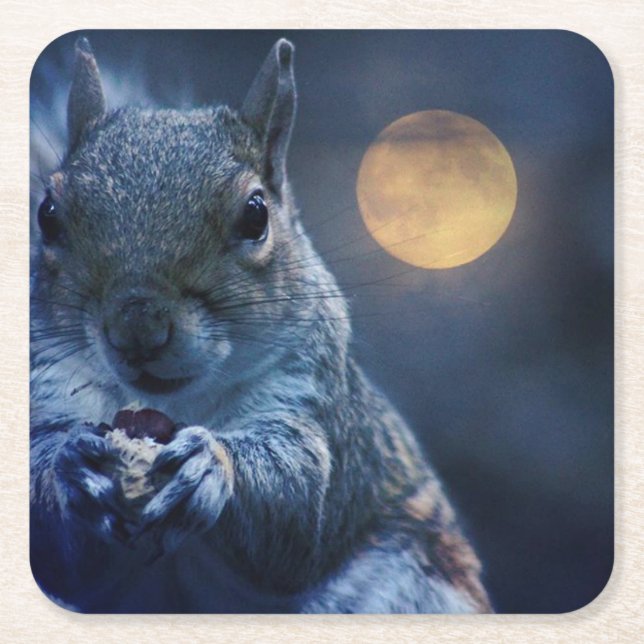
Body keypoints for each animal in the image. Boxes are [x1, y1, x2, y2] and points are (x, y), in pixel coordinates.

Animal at [30, 36, 491, 613]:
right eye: (47, 214)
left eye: (256, 214)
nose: (138, 331)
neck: (175, 405)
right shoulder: (47, 386)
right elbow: (51, 533)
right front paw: (70, 470)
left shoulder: (309, 400)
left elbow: (296, 507)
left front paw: (211, 466)